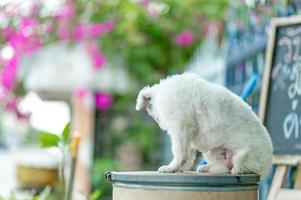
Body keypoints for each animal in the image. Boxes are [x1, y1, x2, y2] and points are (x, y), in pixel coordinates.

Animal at [135, 72, 272, 177]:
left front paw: (172, 167)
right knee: (222, 167)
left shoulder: (180, 127)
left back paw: (239, 170)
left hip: (244, 156)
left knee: (242, 166)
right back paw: (207, 167)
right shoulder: (188, 132)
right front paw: (182, 166)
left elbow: (179, 151)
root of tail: (267, 165)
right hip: (212, 152)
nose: (159, 121)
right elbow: (188, 153)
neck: (163, 93)